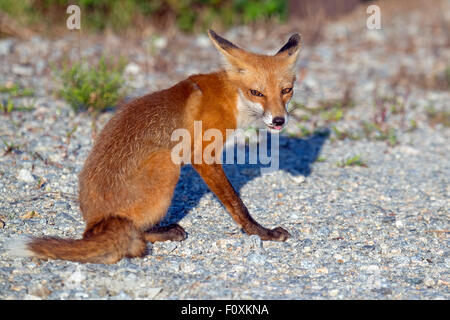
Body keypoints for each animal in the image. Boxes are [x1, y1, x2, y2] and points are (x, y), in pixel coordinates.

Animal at [7, 31, 300, 264]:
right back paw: (162, 234)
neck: (231, 98)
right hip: (167, 165)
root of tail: (96, 222)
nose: (279, 120)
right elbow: (237, 204)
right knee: (136, 235)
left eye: (286, 90)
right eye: (257, 93)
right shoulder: (202, 155)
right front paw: (261, 232)